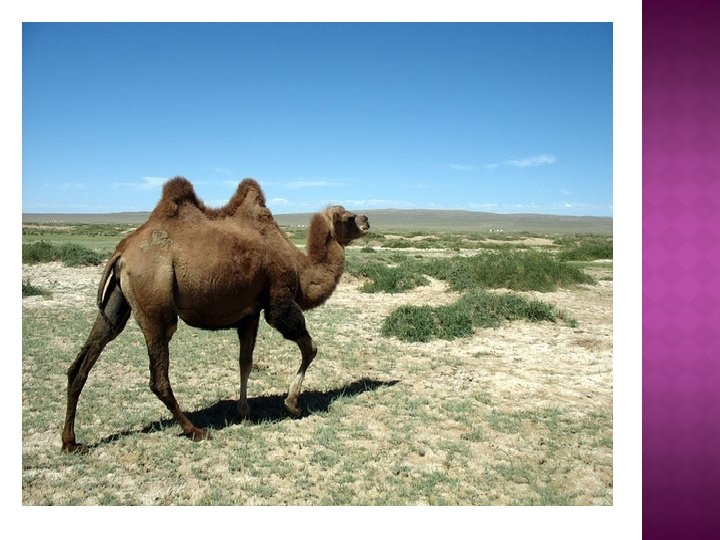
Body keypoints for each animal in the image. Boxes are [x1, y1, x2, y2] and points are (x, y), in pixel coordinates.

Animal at [61, 177, 370, 453]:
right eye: (348, 216)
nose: (367, 219)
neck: (300, 267)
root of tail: (122, 252)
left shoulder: (249, 313)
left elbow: (245, 362)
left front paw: (245, 411)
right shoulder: (277, 301)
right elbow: (310, 347)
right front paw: (292, 404)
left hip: (116, 302)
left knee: (86, 358)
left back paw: (71, 442)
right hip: (155, 303)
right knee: (158, 376)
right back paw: (195, 430)